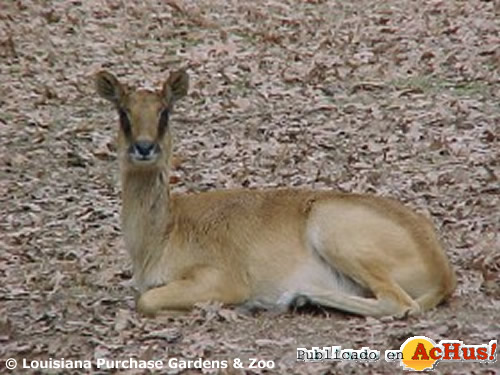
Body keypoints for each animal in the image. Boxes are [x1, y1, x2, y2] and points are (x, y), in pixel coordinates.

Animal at [94, 70, 458, 318]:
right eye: (123, 113)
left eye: (165, 112)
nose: (144, 147)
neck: (162, 234)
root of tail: (443, 274)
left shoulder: (222, 278)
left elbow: (145, 300)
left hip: (335, 231)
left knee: (398, 303)